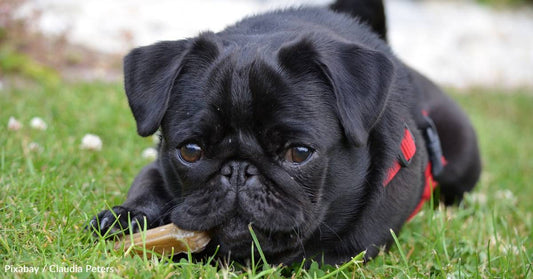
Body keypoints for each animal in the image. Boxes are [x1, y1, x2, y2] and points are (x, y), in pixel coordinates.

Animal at [91, 0, 482, 266]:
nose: (238, 169)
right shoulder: (156, 168)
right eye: (190, 150)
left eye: (299, 153)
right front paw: (127, 217)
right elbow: (147, 185)